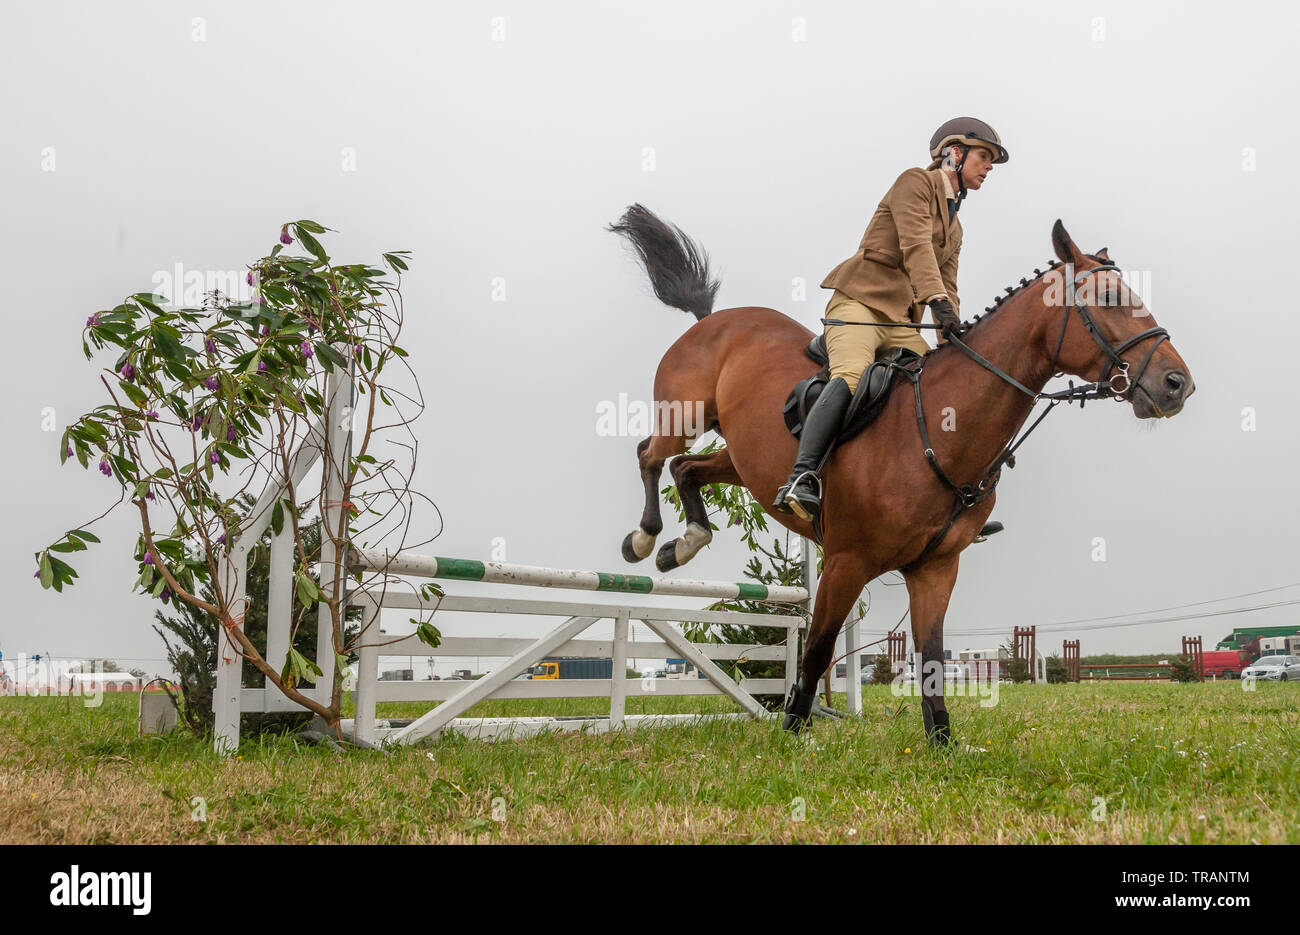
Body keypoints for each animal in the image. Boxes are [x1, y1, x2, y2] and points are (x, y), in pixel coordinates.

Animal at [608, 205, 1196, 743]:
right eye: (1109, 299)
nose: (1177, 384)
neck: (939, 429)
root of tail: (713, 318)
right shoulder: (846, 561)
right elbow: (818, 648)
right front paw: (793, 731)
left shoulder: (935, 568)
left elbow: (932, 658)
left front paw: (943, 744)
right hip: (683, 416)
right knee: (650, 454)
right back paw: (645, 538)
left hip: (742, 459)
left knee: (687, 468)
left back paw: (684, 542)